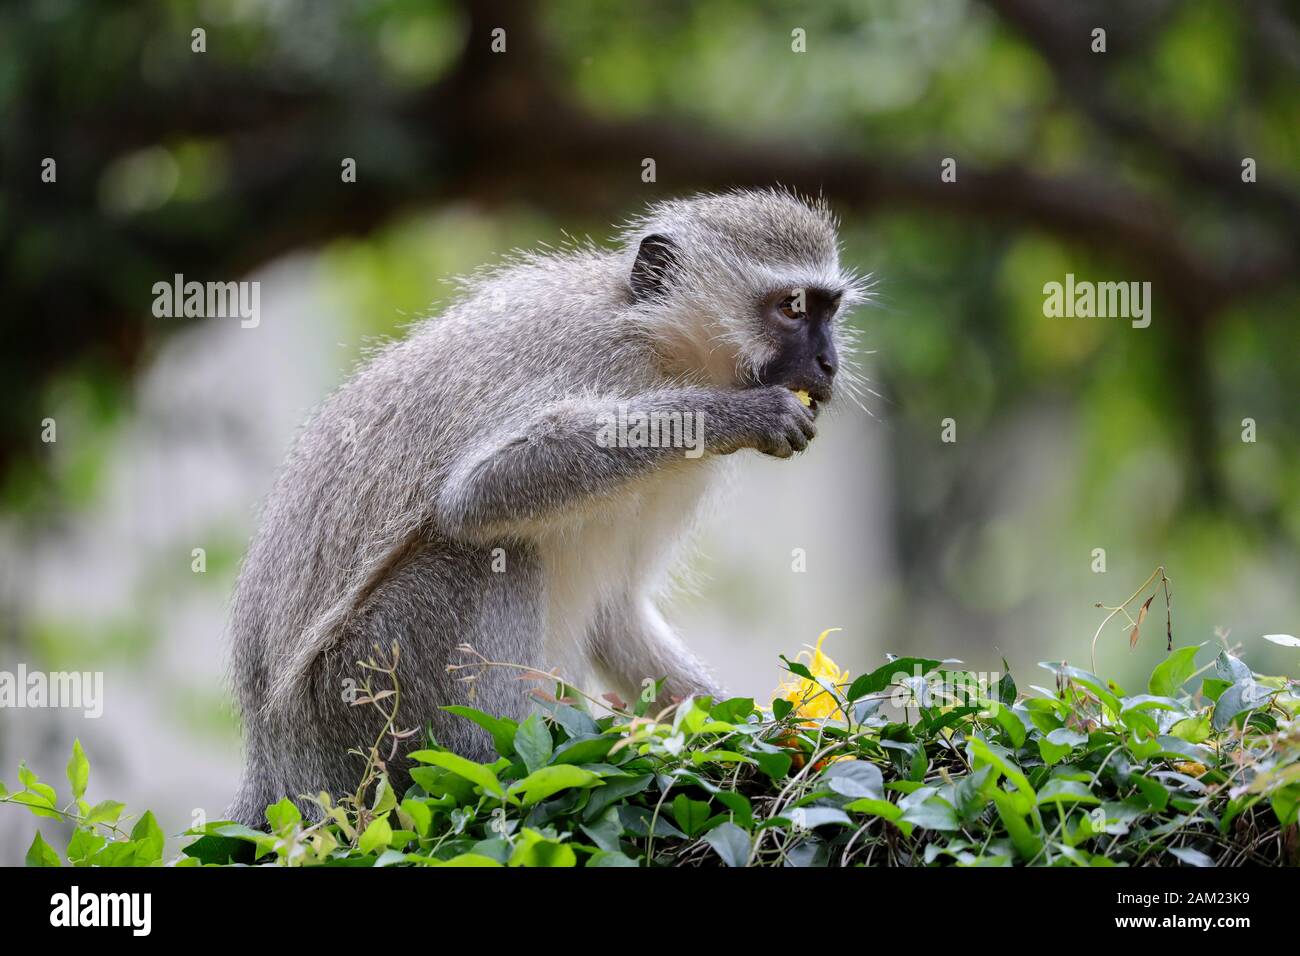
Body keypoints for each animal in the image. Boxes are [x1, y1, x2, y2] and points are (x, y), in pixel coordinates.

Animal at [226, 188, 867, 825]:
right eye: (791, 309)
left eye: (828, 311)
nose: (828, 365)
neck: (663, 351)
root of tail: (274, 759)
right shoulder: (594, 358)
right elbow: (478, 493)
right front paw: (735, 415)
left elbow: (616, 611)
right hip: (358, 709)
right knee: (489, 553)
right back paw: (497, 768)